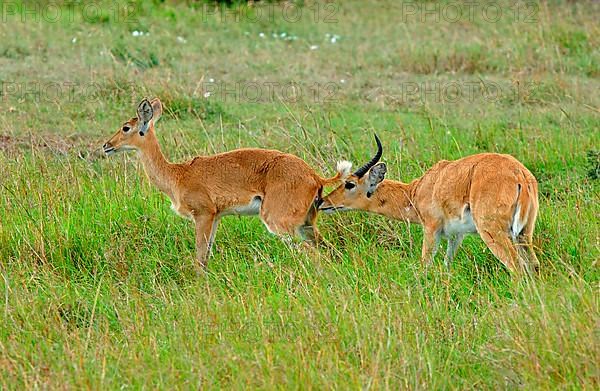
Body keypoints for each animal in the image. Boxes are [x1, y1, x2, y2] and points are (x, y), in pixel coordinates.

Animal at [102, 99, 352, 268]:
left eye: (126, 127)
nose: (106, 145)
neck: (178, 175)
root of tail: (314, 175)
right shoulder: (216, 218)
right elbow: (206, 255)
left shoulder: (204, 215)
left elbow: (200, 257)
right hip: (306, 225)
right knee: (328, 251)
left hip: (279, 222)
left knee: (313, 254)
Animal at [322, 139, 540, 274]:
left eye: (349, 184)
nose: (322, 202)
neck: (416, 191)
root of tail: (519, 173)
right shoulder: (456, 235)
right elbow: (447, 264)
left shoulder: (431, 228)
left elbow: (425, 264)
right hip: (523, 234)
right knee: (533, 265)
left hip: (493, 232)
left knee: (517, 267)